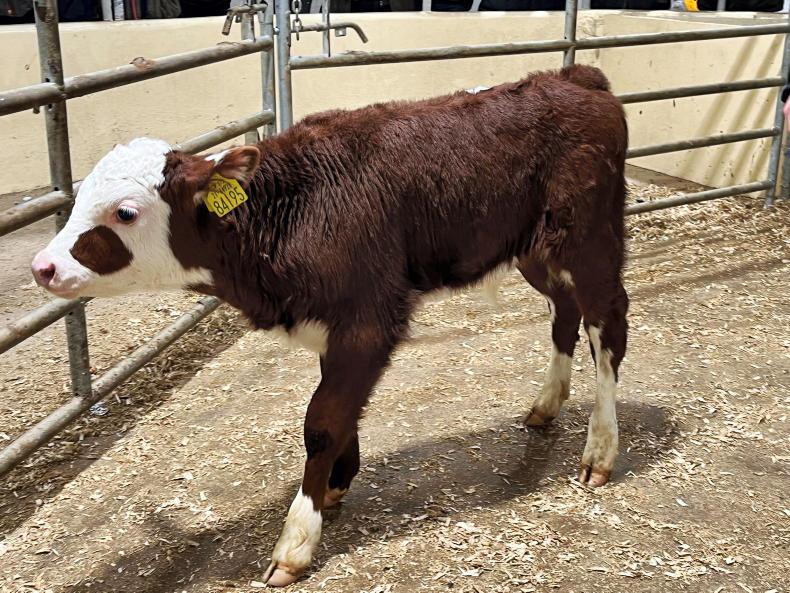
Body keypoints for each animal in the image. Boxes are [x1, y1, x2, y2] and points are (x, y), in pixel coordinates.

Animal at [31, 64, 629, 587]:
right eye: (80, 198)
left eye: (125, 213)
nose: (44, 266)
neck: (289, 211)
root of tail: (574, 78)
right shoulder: (331, 321)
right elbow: (341, 410)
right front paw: (338, 483)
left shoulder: (368, 319)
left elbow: (322, 421)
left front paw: (297, 538)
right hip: (534, 249)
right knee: (565, 311)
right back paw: (547, 404)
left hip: (590, 239)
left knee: (607, 324)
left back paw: (600, 450)